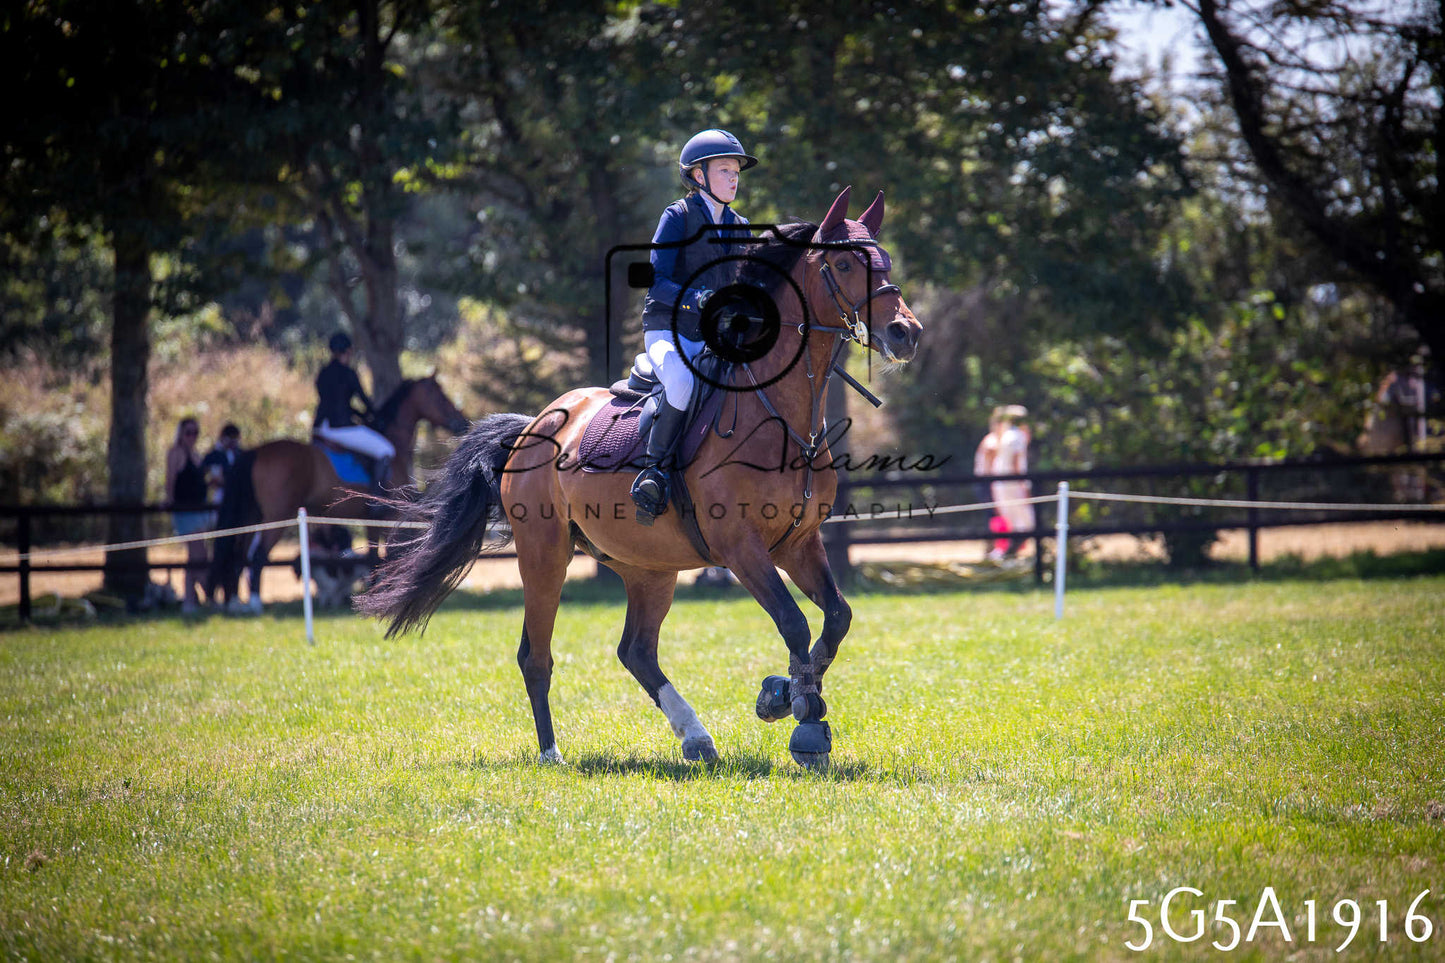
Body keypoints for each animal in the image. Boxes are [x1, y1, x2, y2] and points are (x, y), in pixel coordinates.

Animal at [214, 375, 470, 613]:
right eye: (440, 396)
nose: (460, 421)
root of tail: (256, 451)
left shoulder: (370, 518)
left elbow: (372, 555)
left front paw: (373, 593)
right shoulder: (390, 515)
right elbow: (386, 554)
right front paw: (381, 593)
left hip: (253, 516)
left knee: (239, 554)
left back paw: (236, 604)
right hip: (278, 515)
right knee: (258, 555)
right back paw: (255, 604)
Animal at [357, 188, 922, 769]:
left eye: (886, 260)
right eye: (844, 264)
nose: (906, 333)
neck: (781, 414)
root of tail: (534, 424)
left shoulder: (798, 542)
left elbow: (836, 617)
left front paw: (782, 693)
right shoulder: (741, 547)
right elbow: (795, 622)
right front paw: (804, 719)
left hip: (648, 567)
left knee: (636, 651)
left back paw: (695, 737)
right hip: (544, 555)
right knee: (536, 656)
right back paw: (552, 753)